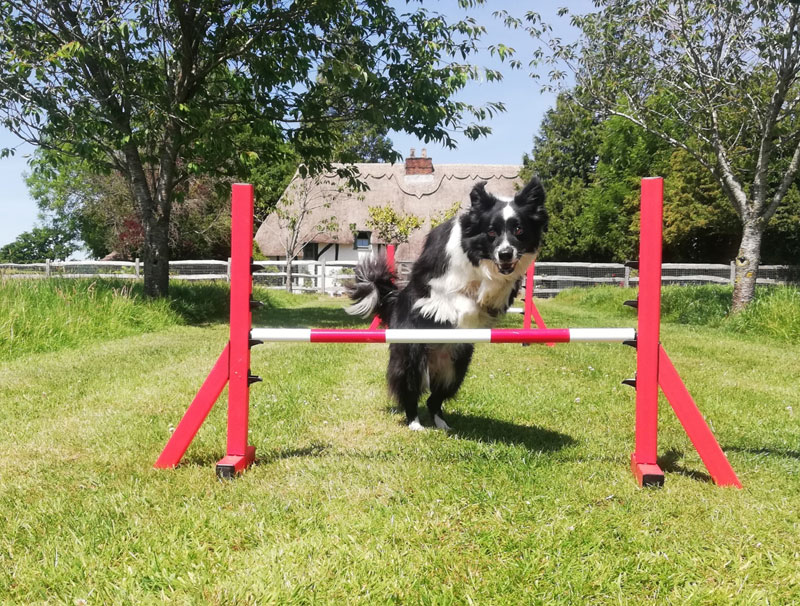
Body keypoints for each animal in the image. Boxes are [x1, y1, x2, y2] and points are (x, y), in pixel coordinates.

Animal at [346, 176, 548, 432]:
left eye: (519, 230)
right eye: (491, 232)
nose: (505, 254)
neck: (476, 256)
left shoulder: (503, 288)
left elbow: (490, 292)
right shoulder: (435, 281)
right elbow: (456, 297)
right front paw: (459, 314)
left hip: (455, 368)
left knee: (434, 400)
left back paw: (443, 424)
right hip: (412, 359)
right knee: (411, 394)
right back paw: (415, 424)